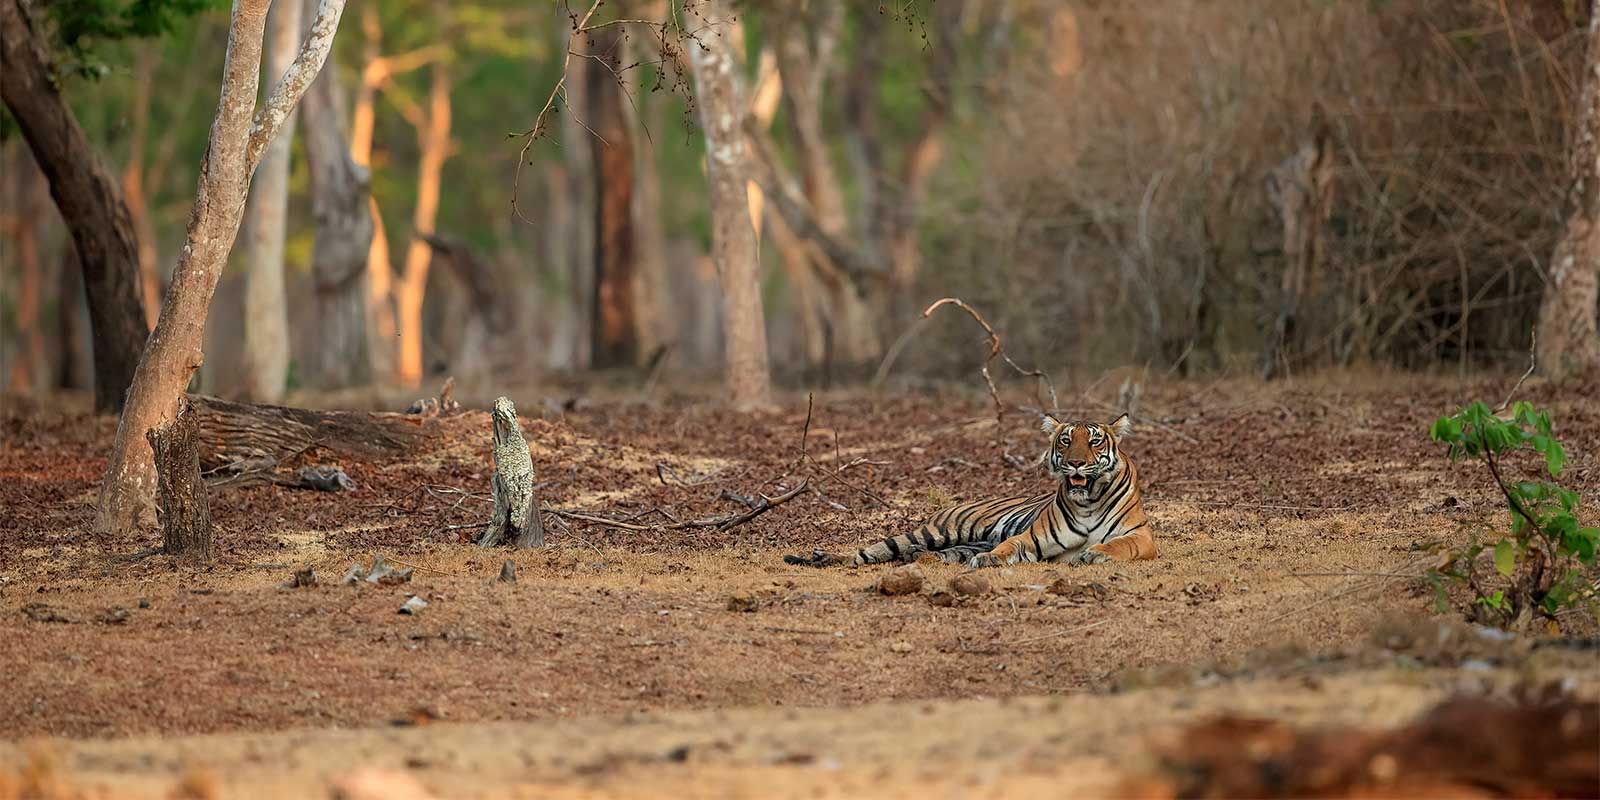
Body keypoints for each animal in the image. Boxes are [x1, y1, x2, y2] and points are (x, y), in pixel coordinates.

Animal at [786, 414, 1156, 569]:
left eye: (1094, 441)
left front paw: (1096, 553)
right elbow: (1009, 546)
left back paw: (914, 558)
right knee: (868, 553)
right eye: (1066, 441)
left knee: (927, 554)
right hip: (937, 531)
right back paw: (819, 558)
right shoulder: (1031, 538)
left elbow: (1120, 544)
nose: (1076, 463)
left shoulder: (1142, 538)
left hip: (958, 543)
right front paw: (990, 560)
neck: (1088, 501)